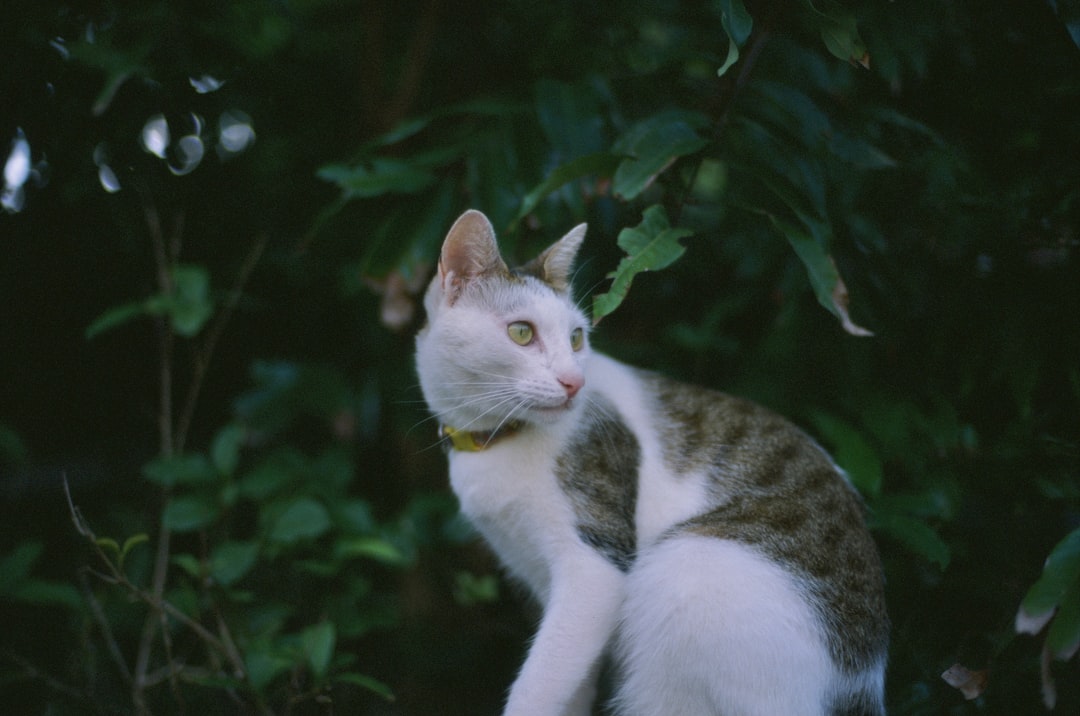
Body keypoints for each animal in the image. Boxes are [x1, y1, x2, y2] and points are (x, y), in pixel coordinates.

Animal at [412, 210, 885, 712]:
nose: (574, 381)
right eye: (522, 332)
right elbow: (571, 680)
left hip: (682, 580)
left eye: (576, 338)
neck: (493, 440)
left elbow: (538, 687)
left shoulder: (595, 571)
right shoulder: (540, 575)